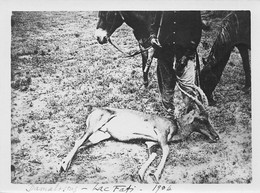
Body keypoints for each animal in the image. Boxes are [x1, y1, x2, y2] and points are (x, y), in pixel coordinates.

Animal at [58, 92, 219, 182]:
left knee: (82, 144)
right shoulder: (161, 136)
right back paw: (64, 166)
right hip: (93, 128)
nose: (216, 136)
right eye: (202, 119)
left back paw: (64, 163)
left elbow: (153, 155)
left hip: (100, 136)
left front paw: (141, 174)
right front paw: (156, 175)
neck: (175, 125)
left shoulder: (150, 143)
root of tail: (94, 111)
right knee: (78, 141)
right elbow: (167, 151)